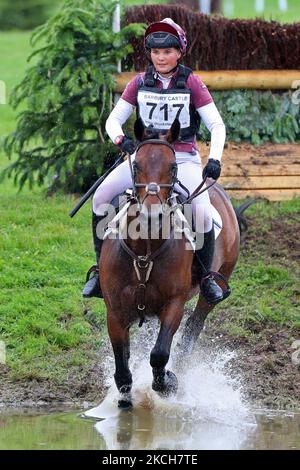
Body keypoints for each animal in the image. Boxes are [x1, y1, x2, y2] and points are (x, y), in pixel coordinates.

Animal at [99, 117, 240, 408]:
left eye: (173, 166)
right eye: (136, 165)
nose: (152, 213)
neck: (145, 251)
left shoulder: (174, 304)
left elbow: (160, 353)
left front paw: (166, 383)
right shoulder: (115, 312)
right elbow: (122, 368)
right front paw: (125, 402)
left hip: (214, 286)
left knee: (192, 331)